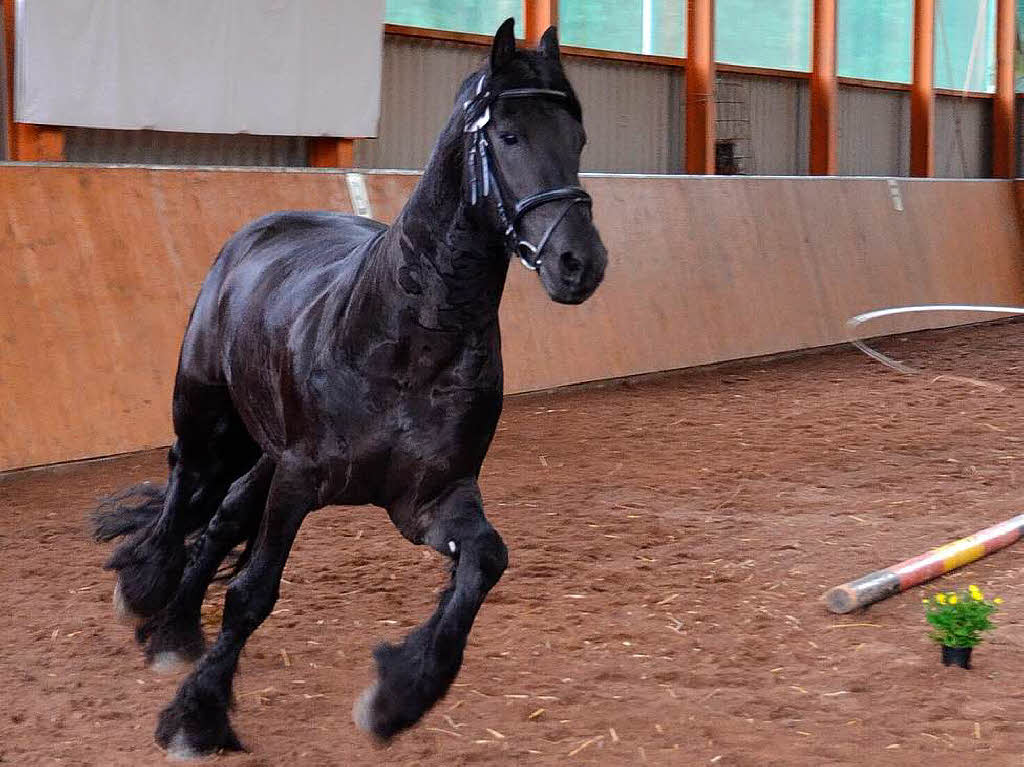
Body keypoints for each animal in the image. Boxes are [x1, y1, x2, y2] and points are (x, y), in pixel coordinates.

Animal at [92, 19, 602, 761]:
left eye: (578, 138)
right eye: (509, 136)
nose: (580, 263)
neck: (408, 342)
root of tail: (261, 229)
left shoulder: (428, 500)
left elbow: (485, 561)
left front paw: (398, 695)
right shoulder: (299, 480)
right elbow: (252, 594)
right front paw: (197, 717)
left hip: (263, 451)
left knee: (221, 518)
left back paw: (177, 628)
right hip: (208, 415)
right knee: (186, 484)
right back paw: (149, 592)